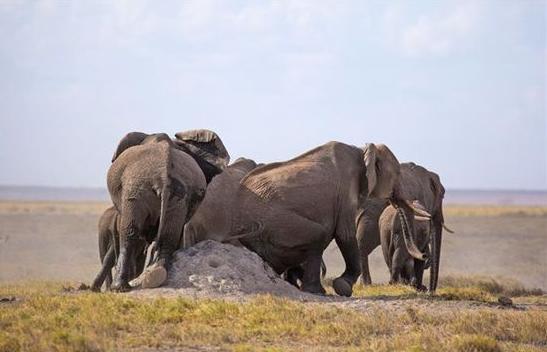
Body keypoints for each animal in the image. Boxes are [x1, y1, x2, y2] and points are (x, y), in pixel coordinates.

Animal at [107, 130, 229, 292]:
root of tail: (164, 176)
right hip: (169, 193)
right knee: (157, 233)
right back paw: (150, 277)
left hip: (140, 189)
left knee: (133, 232)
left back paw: (125, 285)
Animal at [184, 142, 428, 296]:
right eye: (397, 174)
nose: (425, 255)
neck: (363, 149)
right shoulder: (345, 190)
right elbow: (344, 234)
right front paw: (343, 287)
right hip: (275, 223)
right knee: (318, 235)